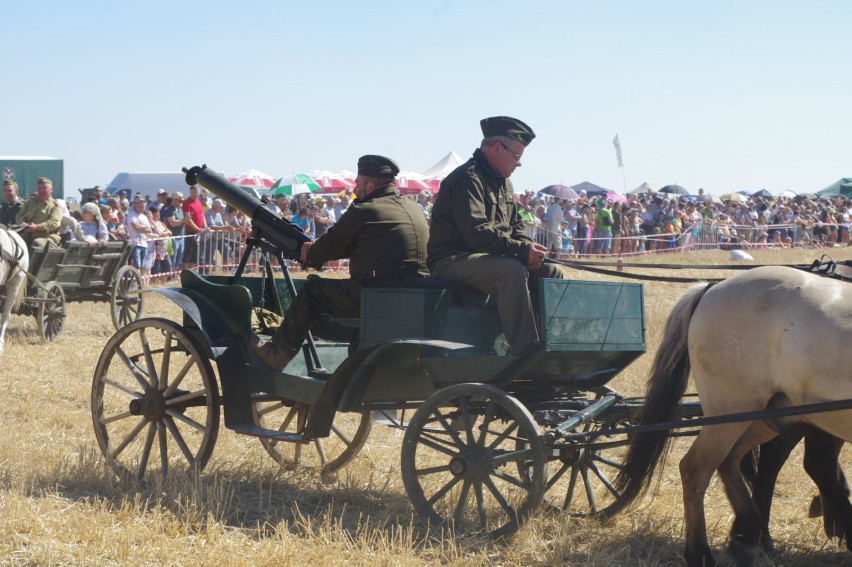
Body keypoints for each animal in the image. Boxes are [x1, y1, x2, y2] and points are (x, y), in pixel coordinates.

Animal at [608, 266, 852, 567]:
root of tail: (712, 287)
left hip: (764, 414)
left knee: (731, 460)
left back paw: (747, 532)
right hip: (730, 413)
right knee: (696, 468)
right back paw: (701, 553)